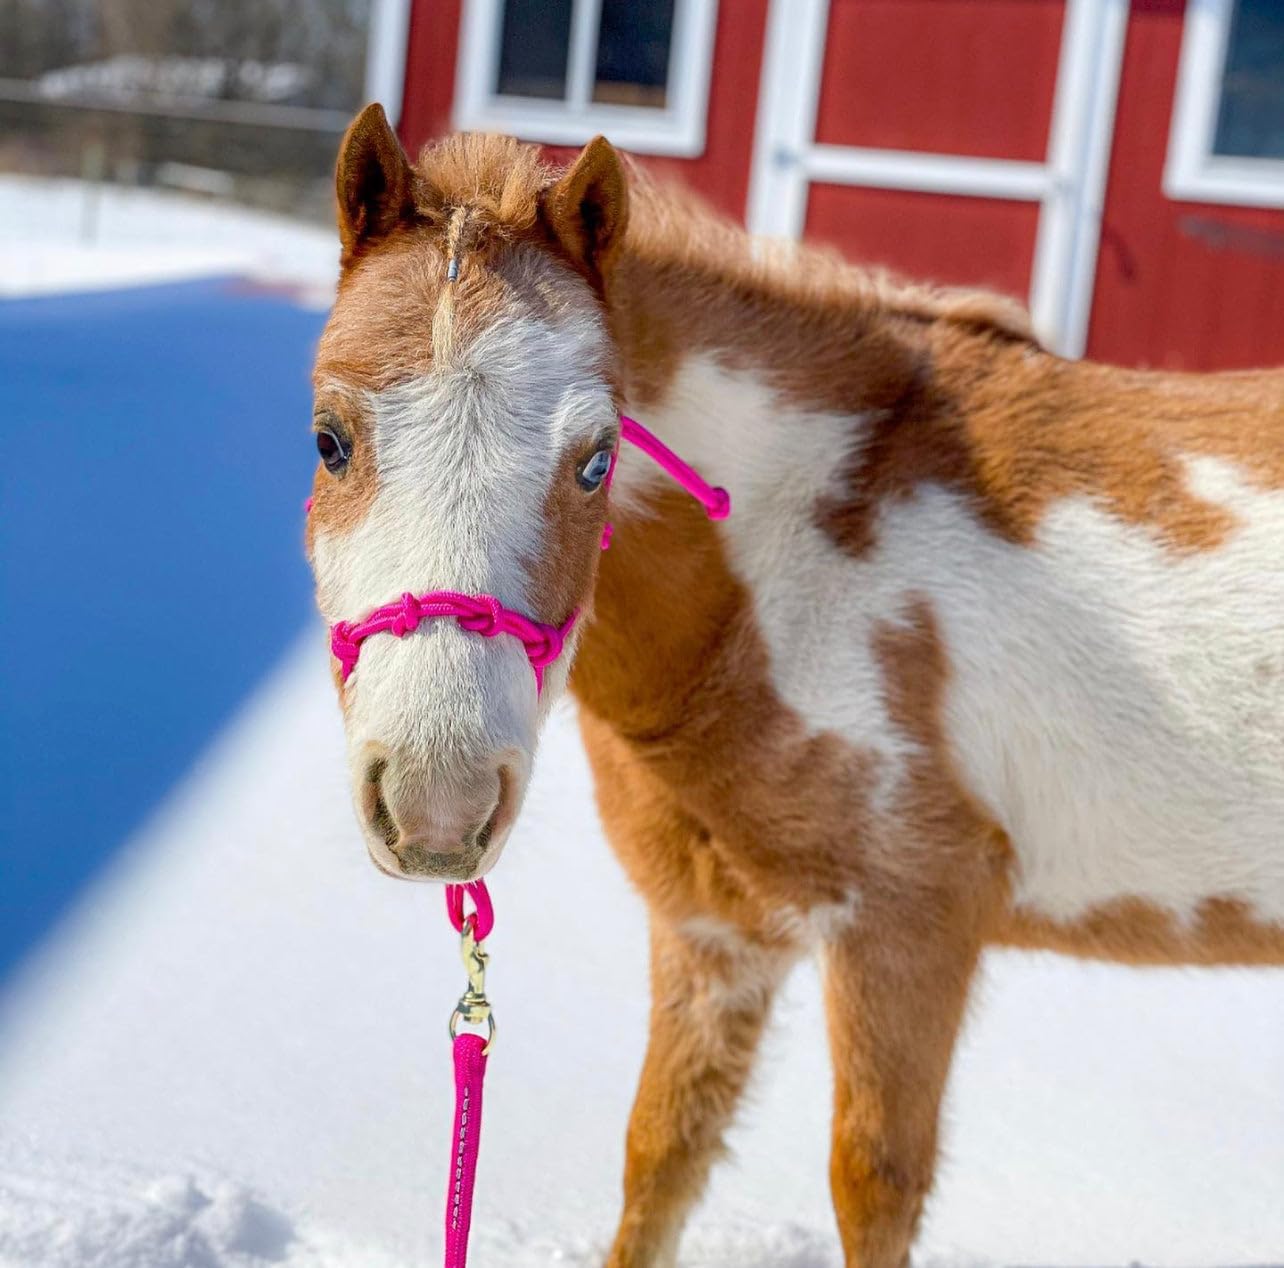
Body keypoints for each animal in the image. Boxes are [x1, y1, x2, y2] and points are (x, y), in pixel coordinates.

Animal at [304, 104, 1284, 1267]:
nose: (437, 803)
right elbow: (660, 1160)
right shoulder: (715, 936)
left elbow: (872, 1185)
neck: (797, 560)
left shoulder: (907, 929)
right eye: (327, 439)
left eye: (596, 460)